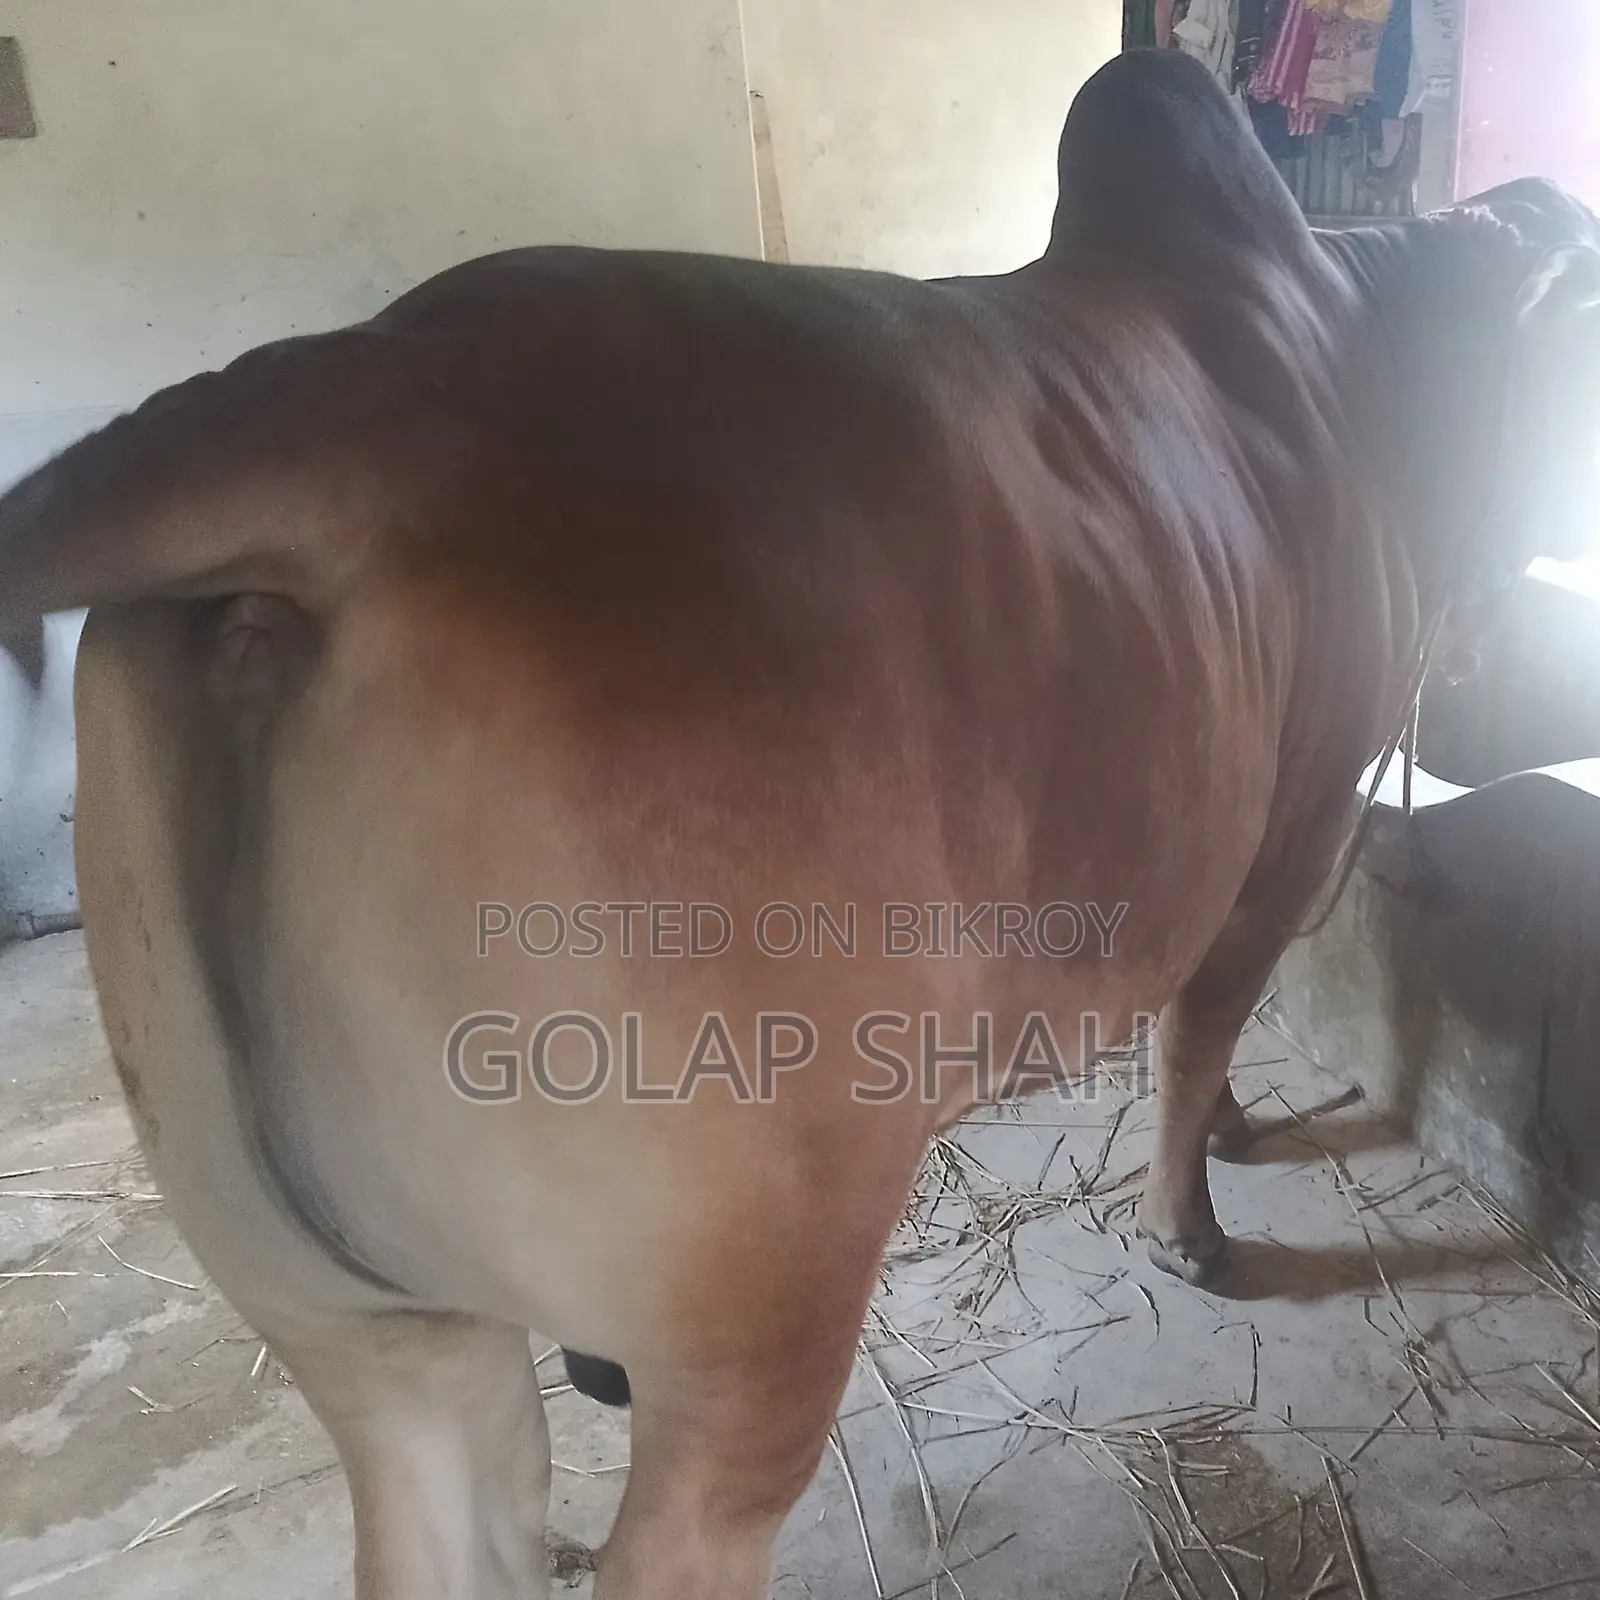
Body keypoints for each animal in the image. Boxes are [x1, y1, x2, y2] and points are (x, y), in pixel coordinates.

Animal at [0, 48, 1595, 1600]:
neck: (1355, 345)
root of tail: (353, 407)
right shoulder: (1292, 823)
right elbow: (1201, 1027)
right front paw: (1191, 1223)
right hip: (755, 1296)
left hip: (367, 1332)